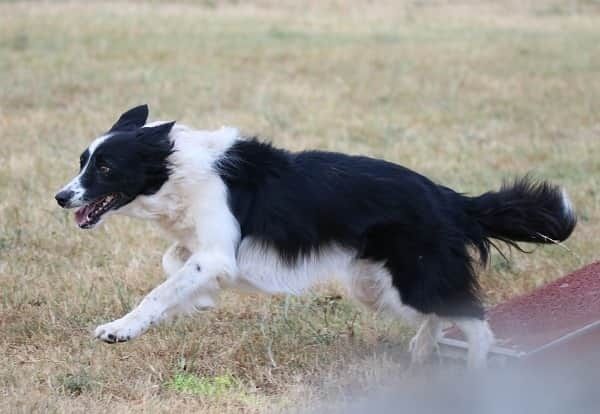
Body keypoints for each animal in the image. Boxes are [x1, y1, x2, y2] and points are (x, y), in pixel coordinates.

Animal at [56, 105, 576, 368]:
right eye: (82, 160)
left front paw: (121, 329)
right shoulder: (209, 248)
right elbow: (173, 262)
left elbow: (162, 288)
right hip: (378, 286)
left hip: (411, 277)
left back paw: (475, 377)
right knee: (441, 315)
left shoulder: (218, 251)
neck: (174, 167)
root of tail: (449, 198)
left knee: (474, 321)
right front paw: (200, 301)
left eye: (105, 167)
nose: (61, 197)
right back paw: (421, 354)